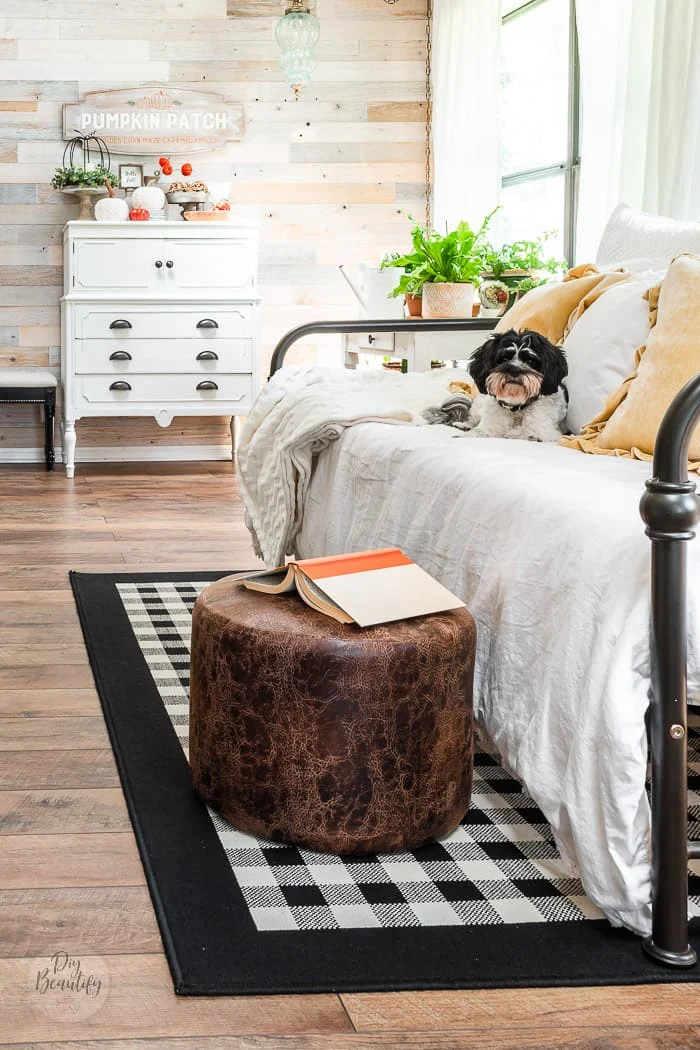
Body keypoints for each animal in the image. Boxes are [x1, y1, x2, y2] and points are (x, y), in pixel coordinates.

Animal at [421, 327, 570, 443]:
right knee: (473, 419)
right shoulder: (488, 426)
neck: (516, 409)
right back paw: (463, 425)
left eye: (530, 360)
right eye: (504, 358)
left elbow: (527, 435)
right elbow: (478, 432)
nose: (514, 370)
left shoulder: (546, 433)